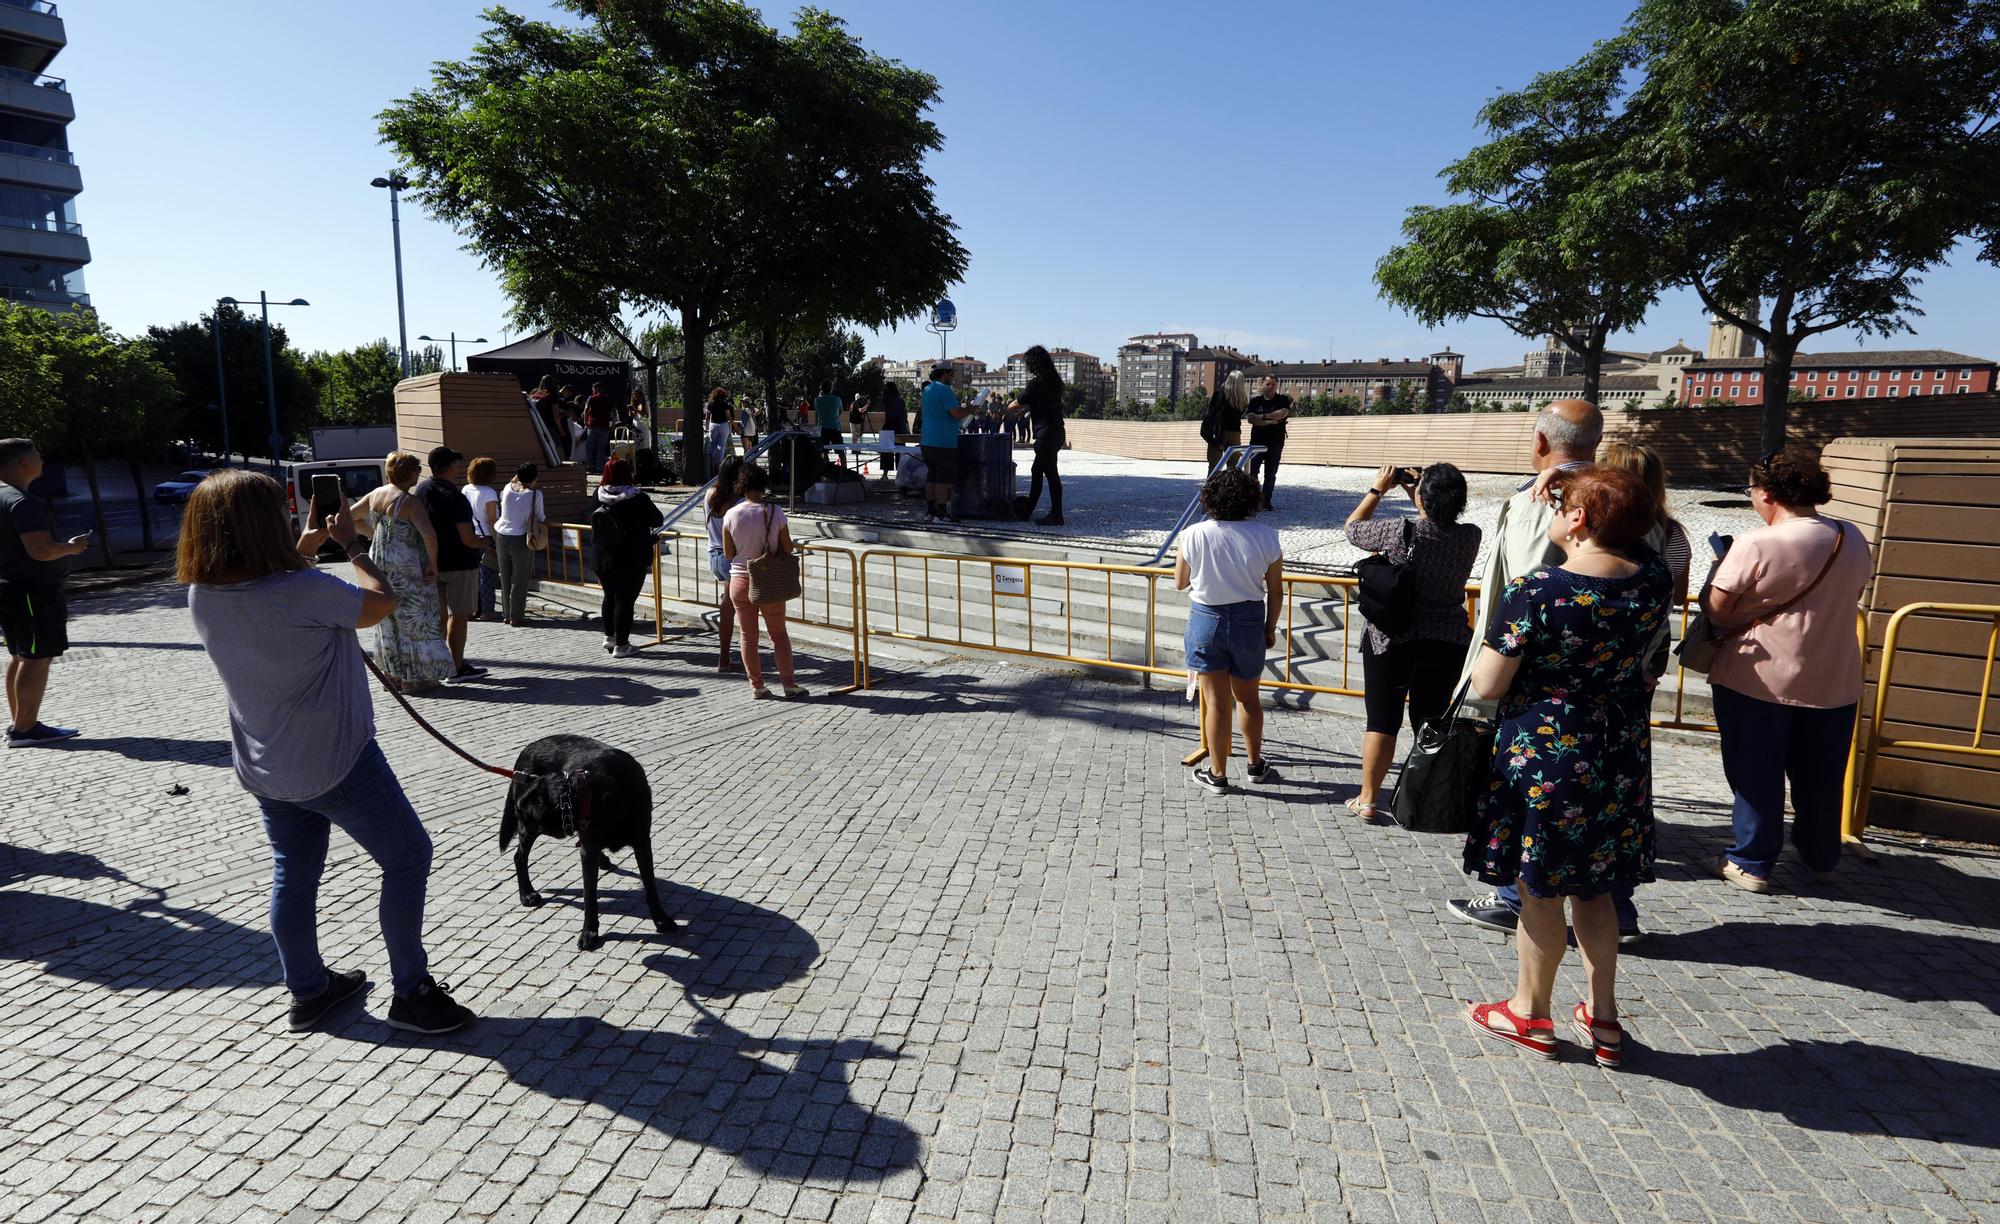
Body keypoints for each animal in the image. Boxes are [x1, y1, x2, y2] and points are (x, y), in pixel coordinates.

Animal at [498, 732, 680, 952]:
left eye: (521, 812)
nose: (518, 817)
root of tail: (528, 748)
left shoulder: (642, 842)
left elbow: (650, 886)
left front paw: (661, 919)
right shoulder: (588, 850)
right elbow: (589, 896)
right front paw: (589, 932)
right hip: (532, 833)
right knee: (519, 857)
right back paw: (526, 894)